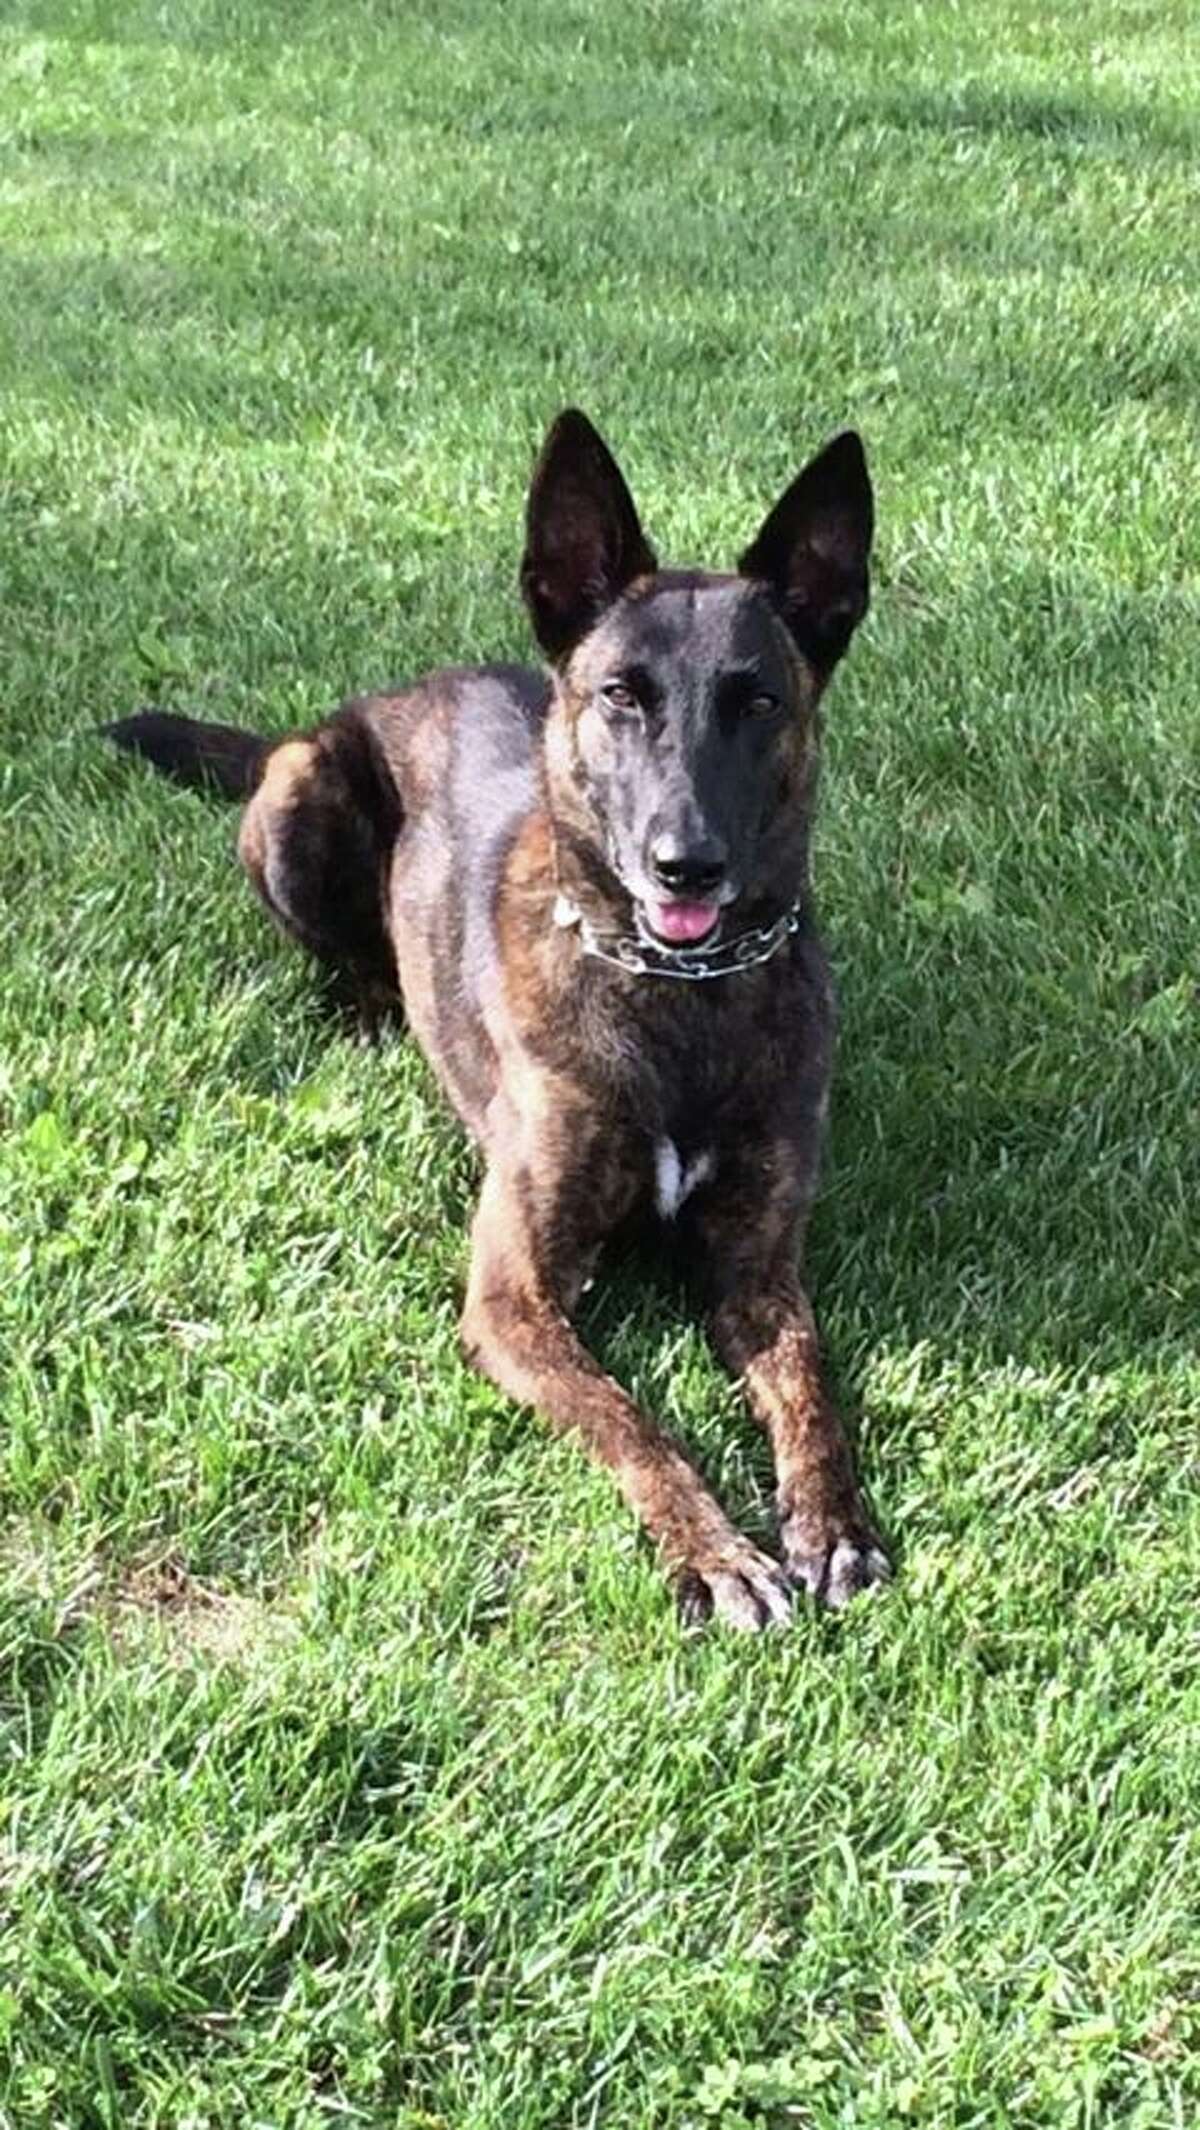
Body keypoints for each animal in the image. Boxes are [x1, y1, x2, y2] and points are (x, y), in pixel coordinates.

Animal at [110, 411, 890, 1627]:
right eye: (621, 695)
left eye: (760, 700)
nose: (687, 861)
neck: (677, 997)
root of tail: (369, 700)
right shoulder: (516, 1294)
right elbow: (634, 1421)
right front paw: (715, 1551)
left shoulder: (759, 1271)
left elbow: (809, 1384)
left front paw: (832, 1522)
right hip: (296, 802)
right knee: (343, 958)